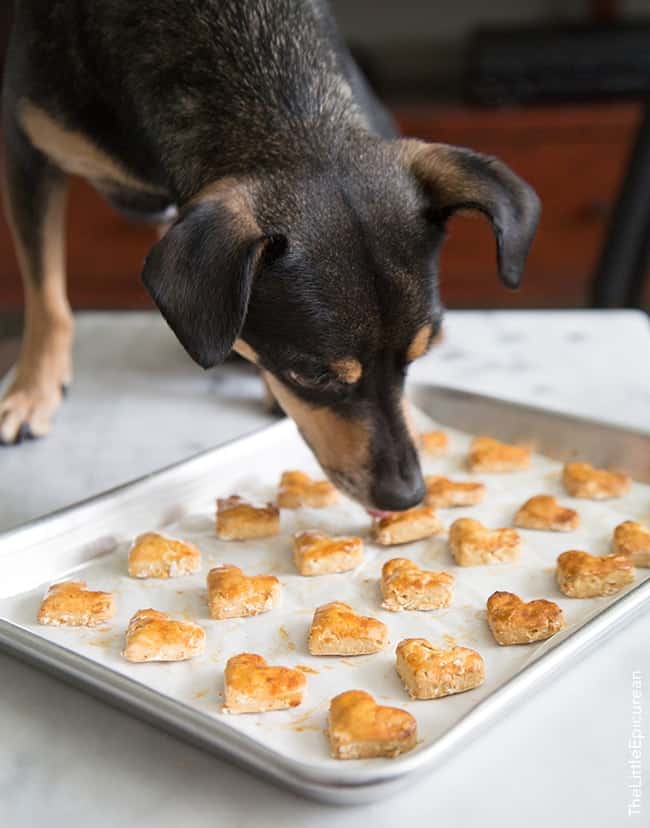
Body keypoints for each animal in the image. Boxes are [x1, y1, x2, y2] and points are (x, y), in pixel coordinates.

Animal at [0, 1, 536, 512]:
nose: (406, 498)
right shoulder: (26, 150)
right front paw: (33, 391)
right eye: (311, 375)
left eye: (420, 355)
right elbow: (48, 296)